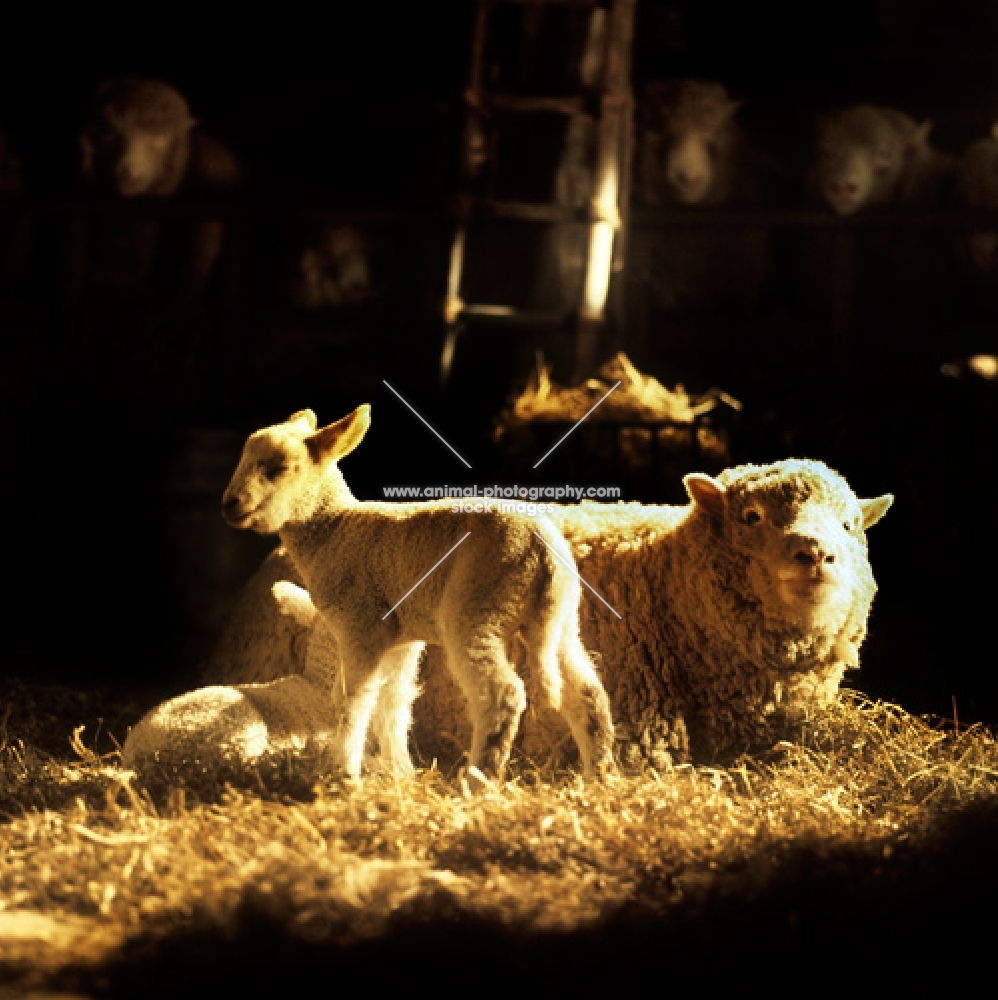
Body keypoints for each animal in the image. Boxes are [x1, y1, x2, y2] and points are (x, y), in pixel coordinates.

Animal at [217, 406, 616, 780]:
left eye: (279, 467)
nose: (229, 504)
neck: (334, 530)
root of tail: (541, 546)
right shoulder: (400, 638)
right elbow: (393, 702)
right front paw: (401, 771)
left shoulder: (362, 625)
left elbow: (352, 699)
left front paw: (342, 771)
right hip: (560, 617)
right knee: (587, 692)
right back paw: (598, 778)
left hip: (476, 609)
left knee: (502, 695)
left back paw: (477, 782)